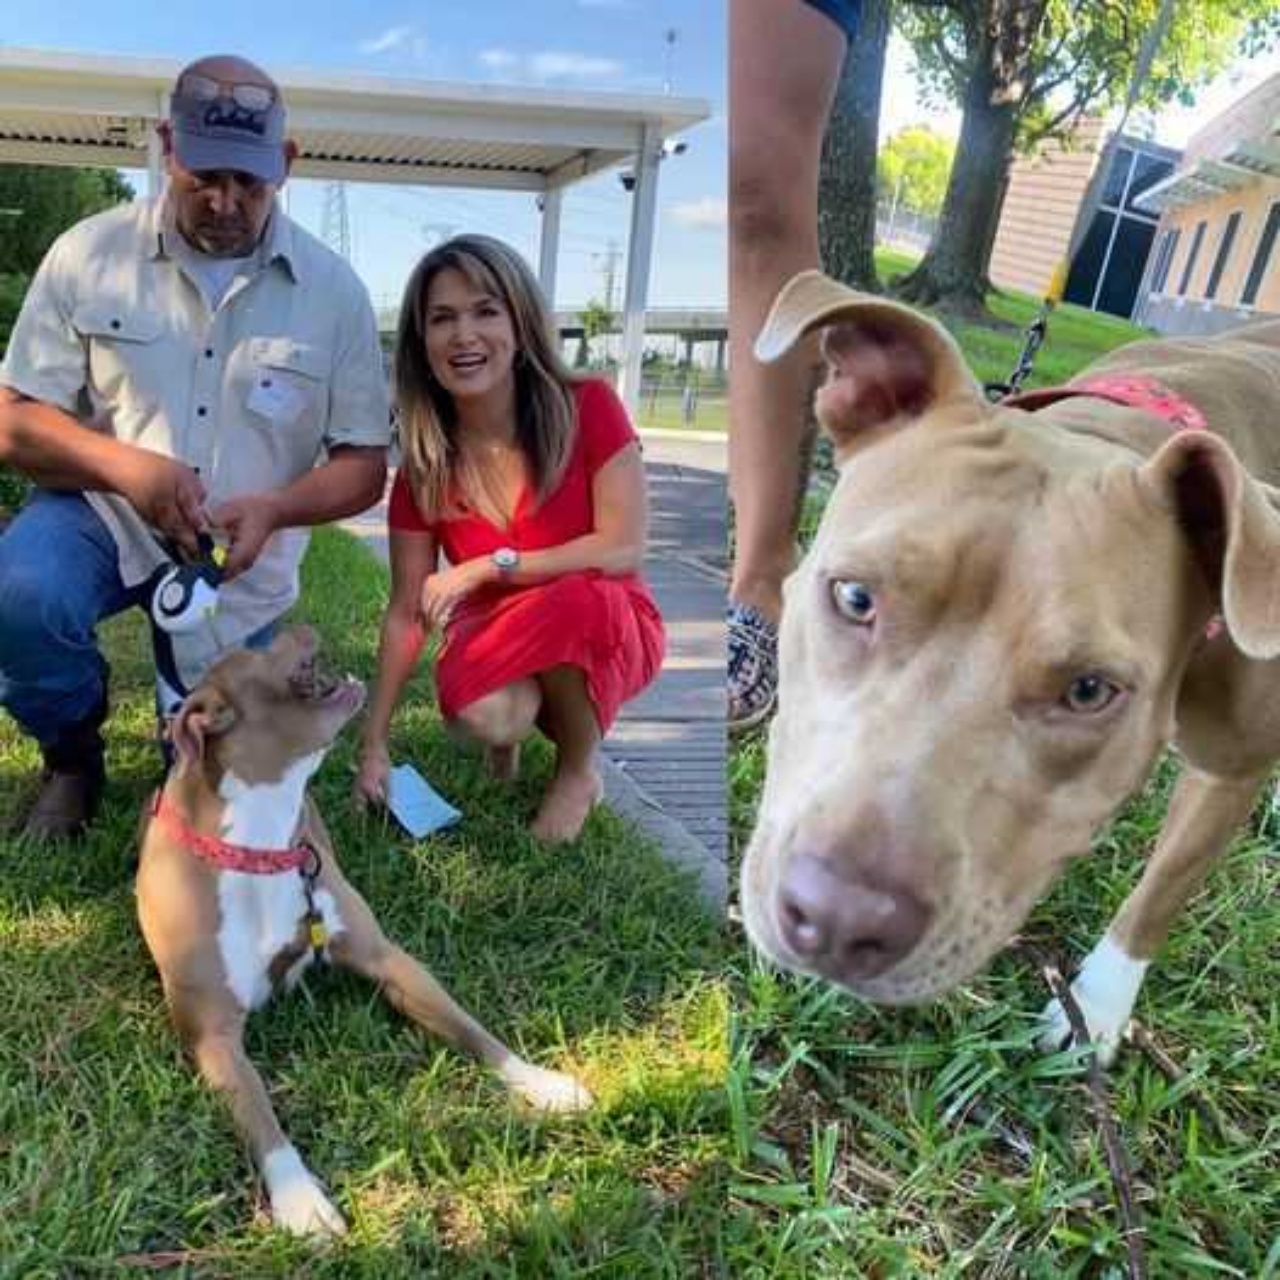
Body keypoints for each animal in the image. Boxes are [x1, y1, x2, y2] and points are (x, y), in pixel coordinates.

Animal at [136, 624, 588, 1233]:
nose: (298, 622)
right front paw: (300, 1199)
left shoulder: (389, 959)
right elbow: (260, 1111)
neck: (259, 846)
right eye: (254, 650)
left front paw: (539, 1082)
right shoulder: (212, 1034)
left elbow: (473, 1029)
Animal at [742, 267, 1280, 1059]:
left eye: (1088, 691)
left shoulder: (1232, 771)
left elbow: (1159, 892)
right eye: (854, 597)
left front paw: (1098, 1008)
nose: (840, 919)